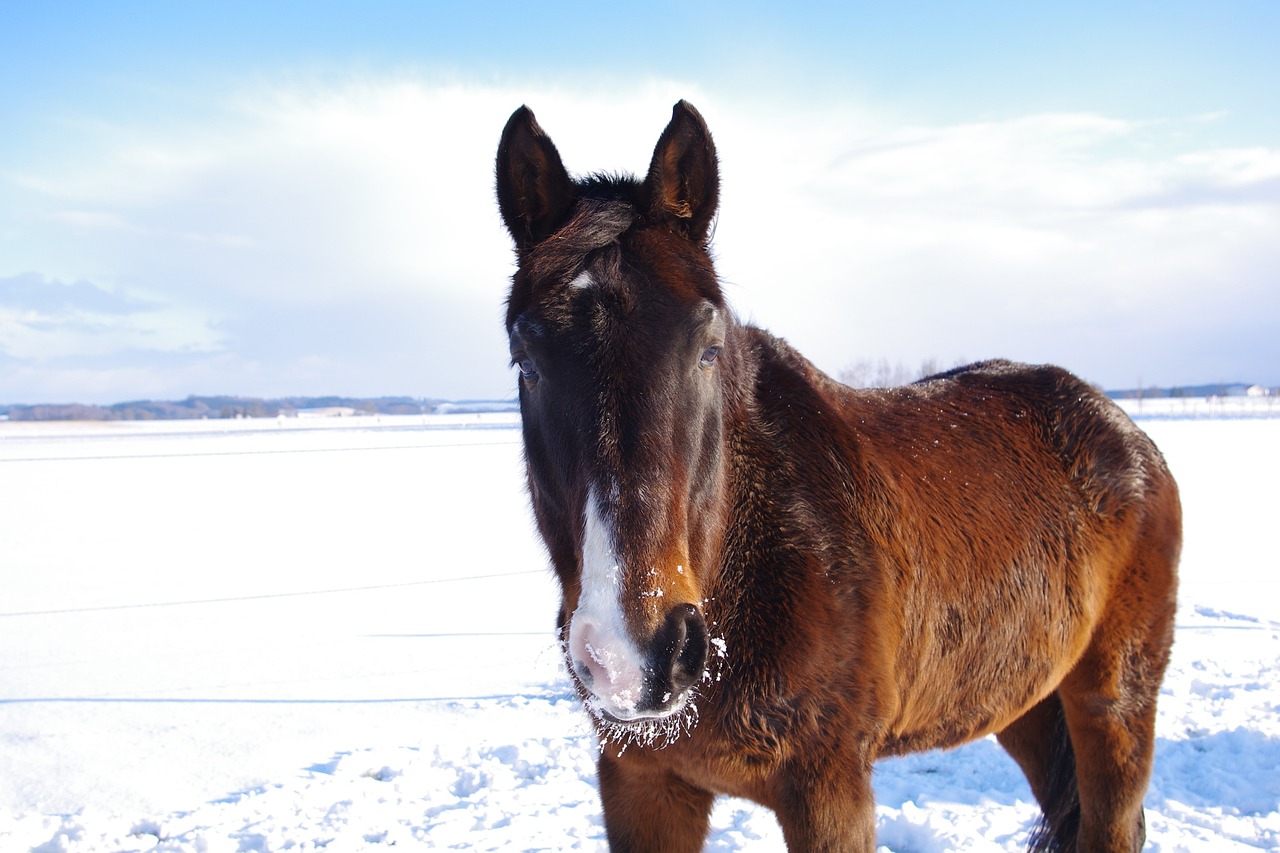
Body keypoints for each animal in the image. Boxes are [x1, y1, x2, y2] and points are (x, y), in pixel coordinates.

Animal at [491, 101, 1177, 850]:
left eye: (708, 347)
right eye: (525, 359)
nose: (632, 654)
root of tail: (1123, 429)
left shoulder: (830, 788)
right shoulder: (642, 782)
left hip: (1113, 702)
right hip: (1023, 696)